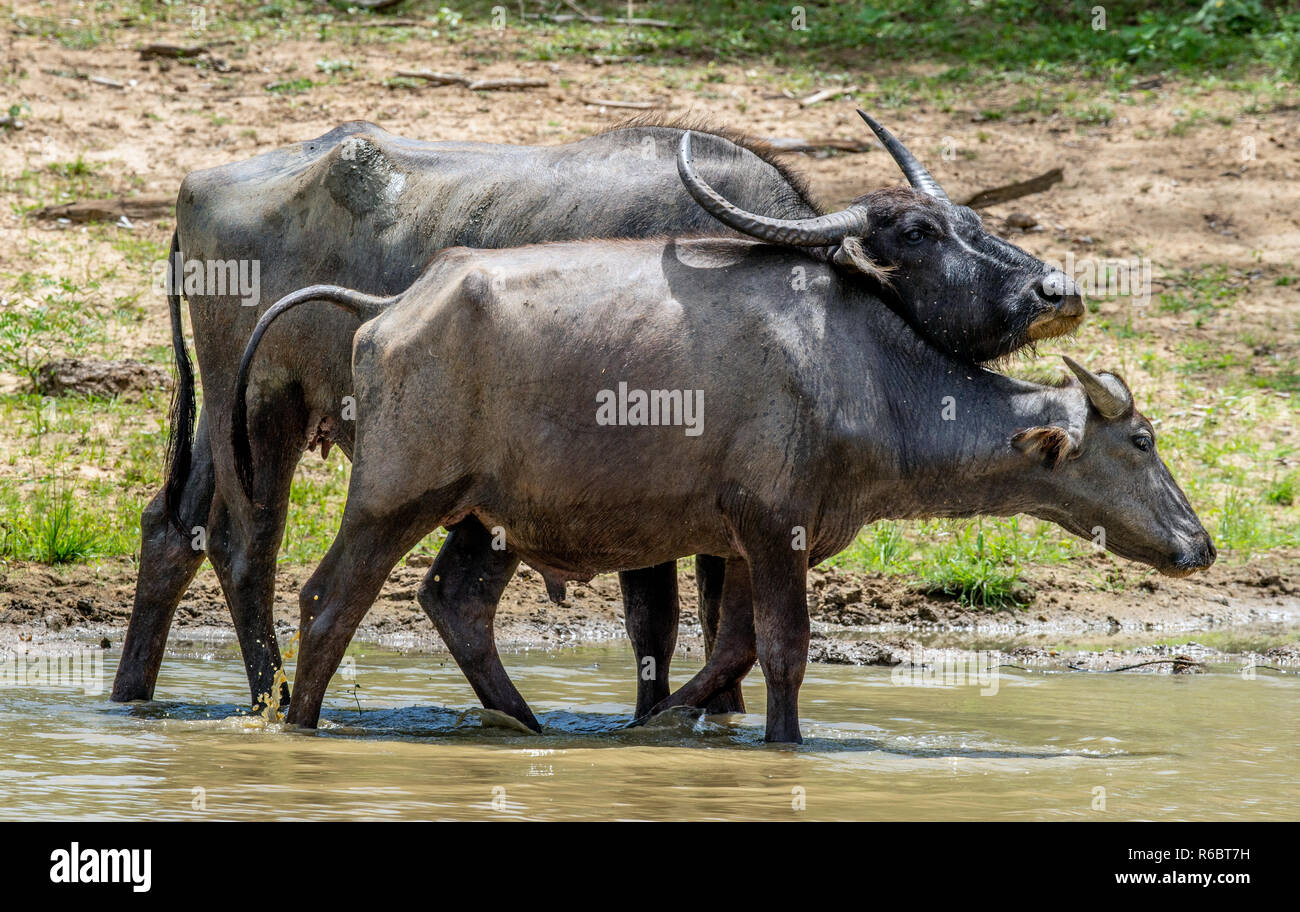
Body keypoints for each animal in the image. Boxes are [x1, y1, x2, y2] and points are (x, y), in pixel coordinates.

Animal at [114, 114, 1086, 717]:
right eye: (918, 234)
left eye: (970, 215)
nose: (1058, 290)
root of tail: (197, 188)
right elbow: (658, 620)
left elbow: (718, 615)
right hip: (263, 411)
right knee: (248, 546)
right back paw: (268, 697)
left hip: (227, 425)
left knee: (172, 530)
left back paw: (134, 694)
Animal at [231, 228, 1206, 743]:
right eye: (1143, 440)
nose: (1200, 545)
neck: (863, 373)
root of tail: (391, 306)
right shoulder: (776, 531)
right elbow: (783, 649)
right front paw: (782, 743)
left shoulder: (745, 541)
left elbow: (730, 648)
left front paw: (657, 723)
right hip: (395, 500)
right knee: (327, 601)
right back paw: (301, 726)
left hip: (487, 514)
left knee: (455, 601)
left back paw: (526, 724)